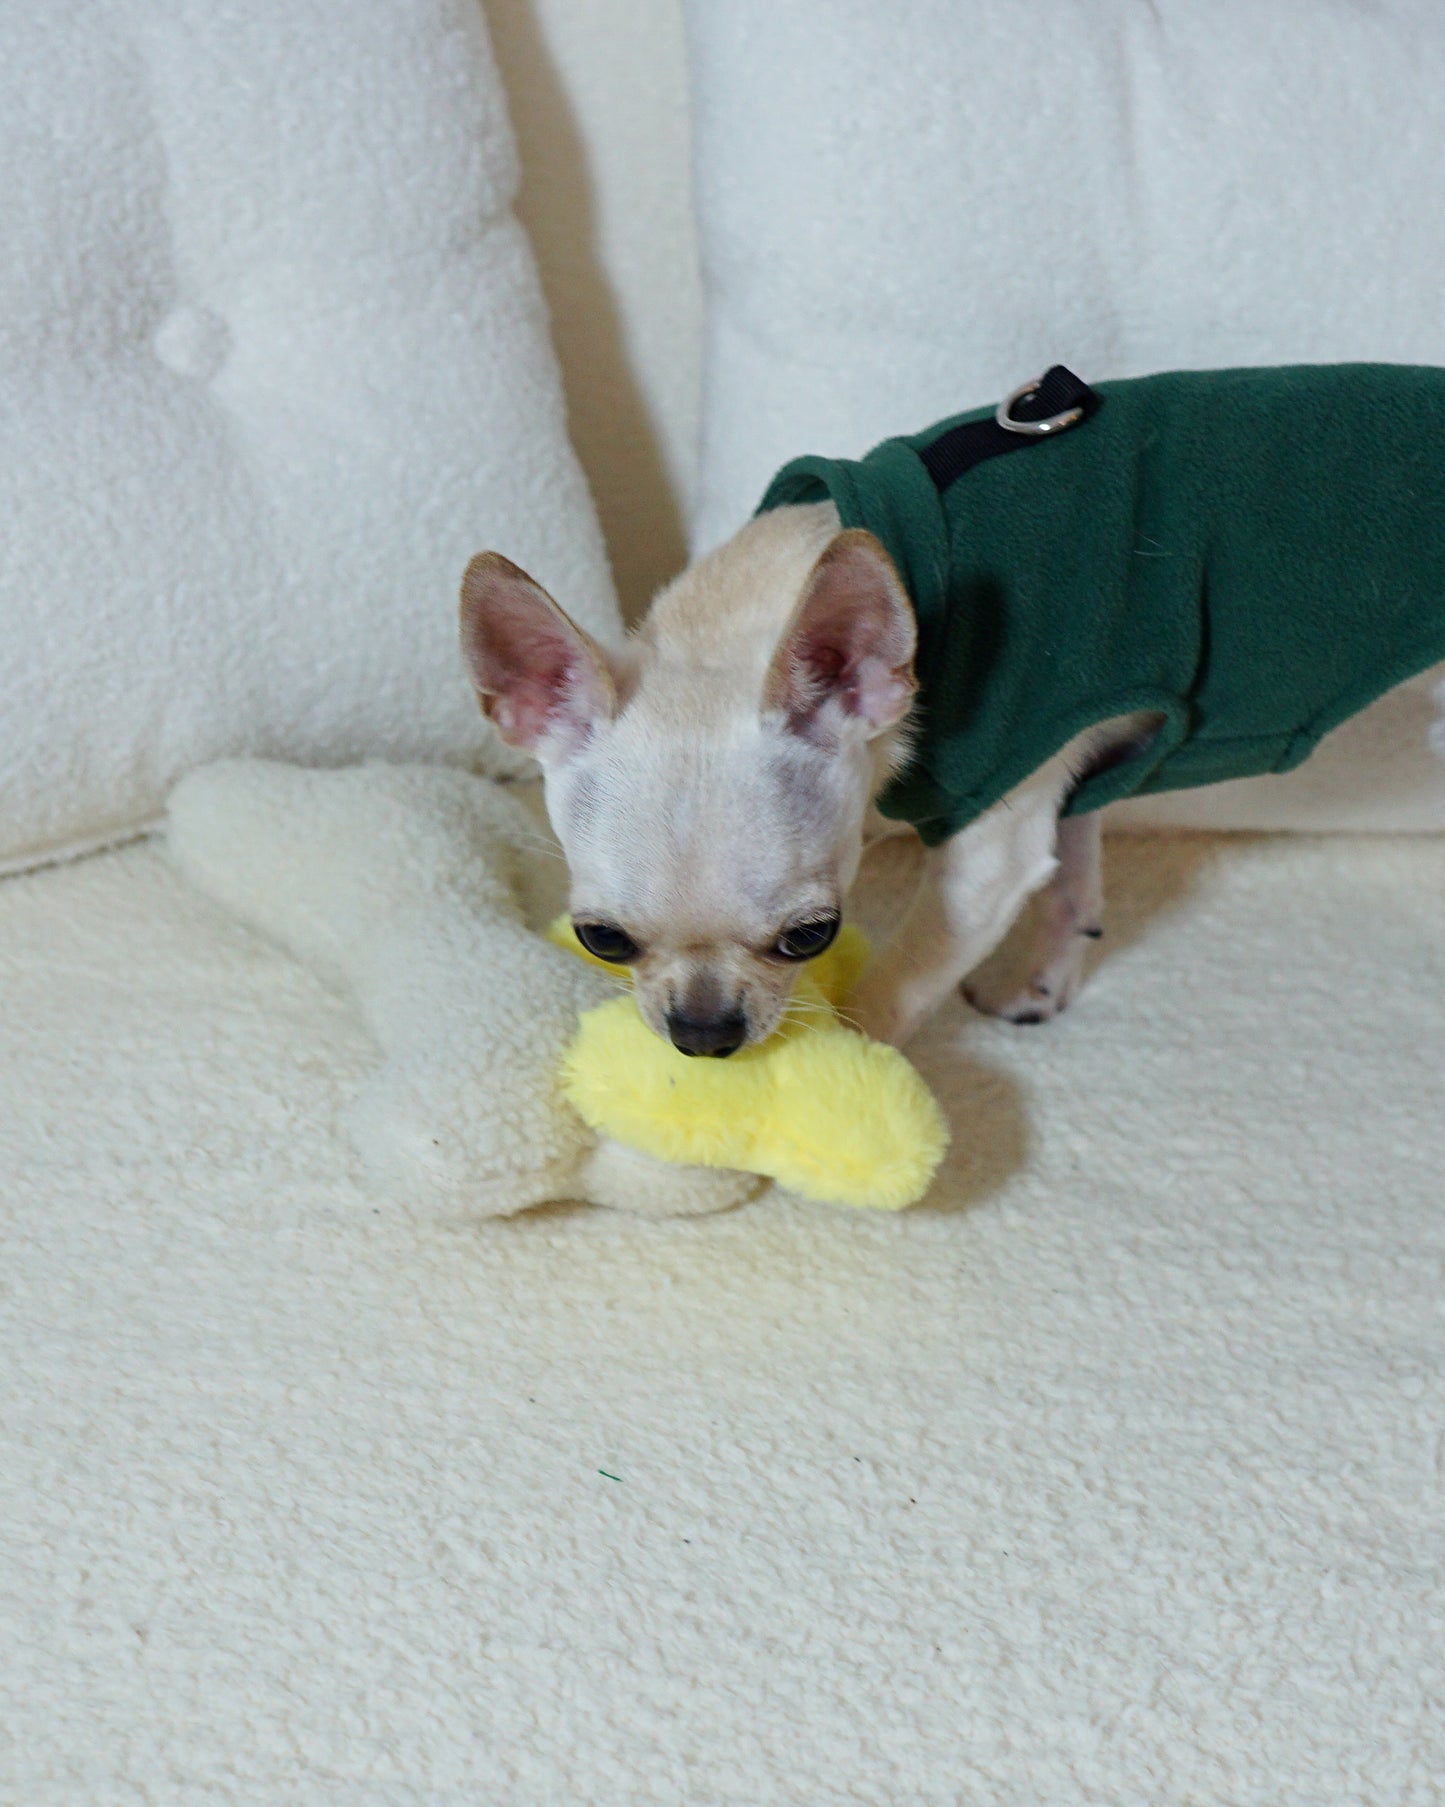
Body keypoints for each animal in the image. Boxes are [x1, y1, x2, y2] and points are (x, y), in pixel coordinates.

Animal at [456, 361, 1445, 1055]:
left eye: (810, 936)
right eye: (601, 939)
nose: (703, 1033)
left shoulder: (989, 845)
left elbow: (894, 989)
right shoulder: (1070, 776)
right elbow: (1074, 884)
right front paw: (1042, 985)